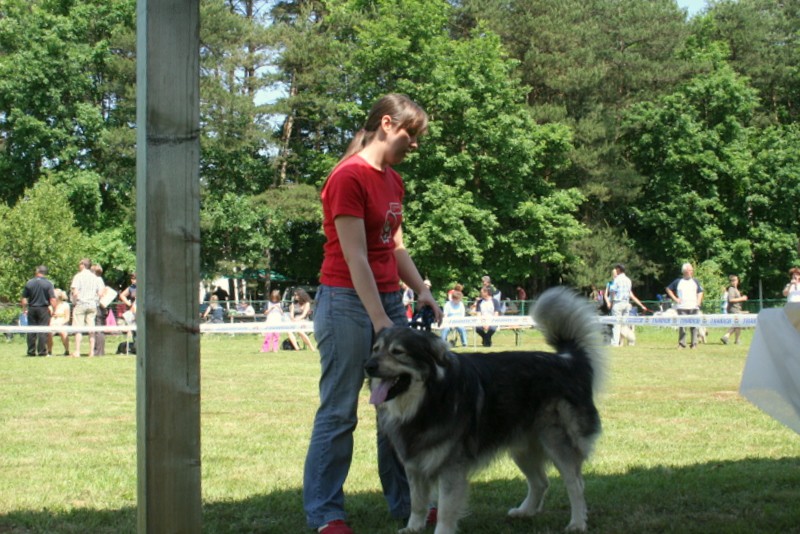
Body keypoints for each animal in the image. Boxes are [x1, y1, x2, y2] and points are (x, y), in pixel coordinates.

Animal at [366, 288, 604, 534]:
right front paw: (413, 528)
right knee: (541, 482)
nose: (368, 366)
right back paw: (525, 511)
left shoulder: (451, 468)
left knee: (575, 484)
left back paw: (577, 523)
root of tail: (568, 360)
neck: (428, 398)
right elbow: (417, 503)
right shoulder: (414, 465)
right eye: (376, 349)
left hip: (557, 441)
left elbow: (445, 509)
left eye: (397, 352)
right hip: (522, 446)